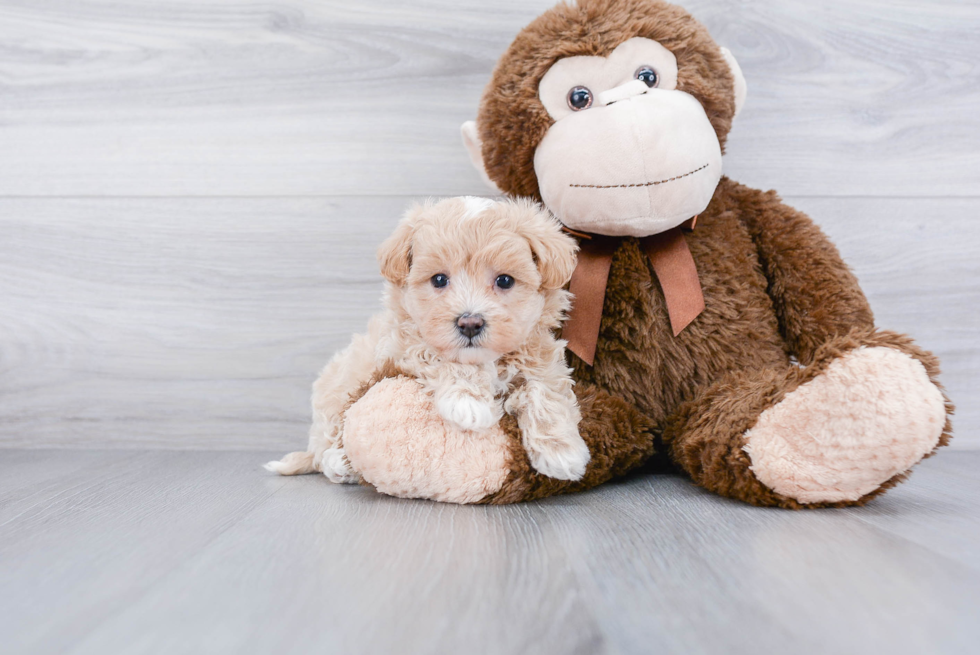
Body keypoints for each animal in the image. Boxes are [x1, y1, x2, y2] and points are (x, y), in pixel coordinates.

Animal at [264, 197, 592, 484]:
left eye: (505, 280)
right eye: (439, 280)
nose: (470, 323)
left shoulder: (541, 357)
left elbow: (543, 390)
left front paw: (561, 451)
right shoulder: (401, 346)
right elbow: (441, 356)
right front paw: (468, 402)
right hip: (336, 391)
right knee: (325, 447)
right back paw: (339, 464)